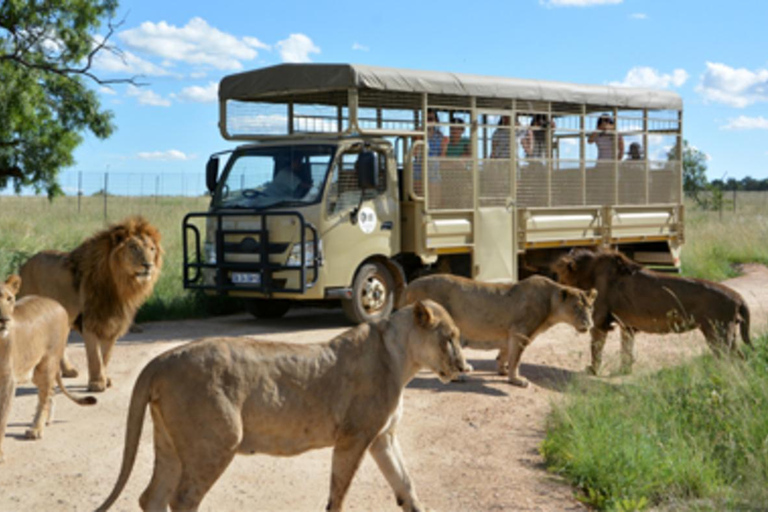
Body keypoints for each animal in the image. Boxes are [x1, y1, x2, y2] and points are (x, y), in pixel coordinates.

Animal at [0, 276, 96, 464]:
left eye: (10, 299)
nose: (5, 320)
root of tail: (57, 303)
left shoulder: (8, 381)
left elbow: (1, 419)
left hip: (46, 365)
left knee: (45, 396)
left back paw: (36, 429)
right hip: (37, 371)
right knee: (49, 392)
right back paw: (46, 421)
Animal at [18, 216, 163, 392]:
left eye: (152, 249)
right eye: (134, 248)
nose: (148, 265)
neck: (120, 285)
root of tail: (23, 265)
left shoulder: (113, 323)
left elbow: (106, 356)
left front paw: (105, 379)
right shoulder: (89, 321)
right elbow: (95, 356)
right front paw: (97, 383)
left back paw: (67, 371)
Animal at [96, 300, 468, 512]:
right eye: (449, 338)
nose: (465, 367)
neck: (402, 357)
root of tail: (160, 360)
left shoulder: (382, 437)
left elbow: (406, 485)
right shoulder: (355, 436)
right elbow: (339, 494)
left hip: (170, 443)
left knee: (152, 497)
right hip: (216, 442)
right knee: (182, 499)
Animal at [400, 274, 596, 386]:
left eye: (590, 307)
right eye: (576, 307)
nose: (589, 324)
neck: (551, 303)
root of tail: (409, 285)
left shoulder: (510, 333)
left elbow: (505, 353)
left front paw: (502, 370)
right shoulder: (520, 333)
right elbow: (516, 359)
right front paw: (516, 380)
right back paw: (458, 377)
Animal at [556, 249, 752, 376]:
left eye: (560, 275)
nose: (558, 291)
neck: (588, 272)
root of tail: (738, 297)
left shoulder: (599, 322)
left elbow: (596, 349)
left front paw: (593, 371)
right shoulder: (627, 325)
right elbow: (626, 350)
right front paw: (624, 371)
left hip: (717, 335)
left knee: (728, 361)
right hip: (728, 335)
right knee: (741, 358)